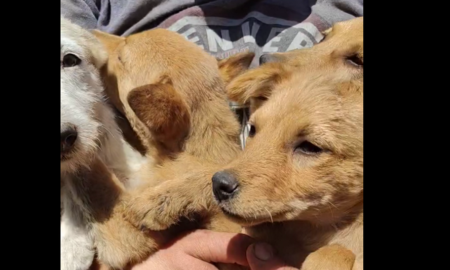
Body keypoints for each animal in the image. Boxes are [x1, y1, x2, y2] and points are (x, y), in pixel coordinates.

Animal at [125, 17, 364, 270]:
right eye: (253, 129)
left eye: (310, 147)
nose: (220, 186)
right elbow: (211, 171)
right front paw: (161, 199)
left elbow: (334, 253)